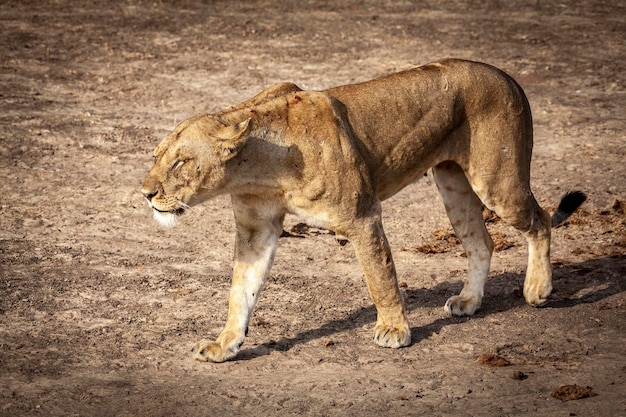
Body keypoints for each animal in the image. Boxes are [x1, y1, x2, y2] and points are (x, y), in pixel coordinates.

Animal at [139, 58, 584, 360]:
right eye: (156, 156)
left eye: (180, 163)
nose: (145, 193)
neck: (257, 169)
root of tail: (508, 76)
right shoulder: (255, 231)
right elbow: (240, 291)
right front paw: (226, 344)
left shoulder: (362, 216)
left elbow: (380, 276)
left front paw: (394, 330)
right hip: (453, 183)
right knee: (482, 242)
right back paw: (469, 302)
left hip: (498, 182)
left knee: (540, 221)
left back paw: (538, 289)